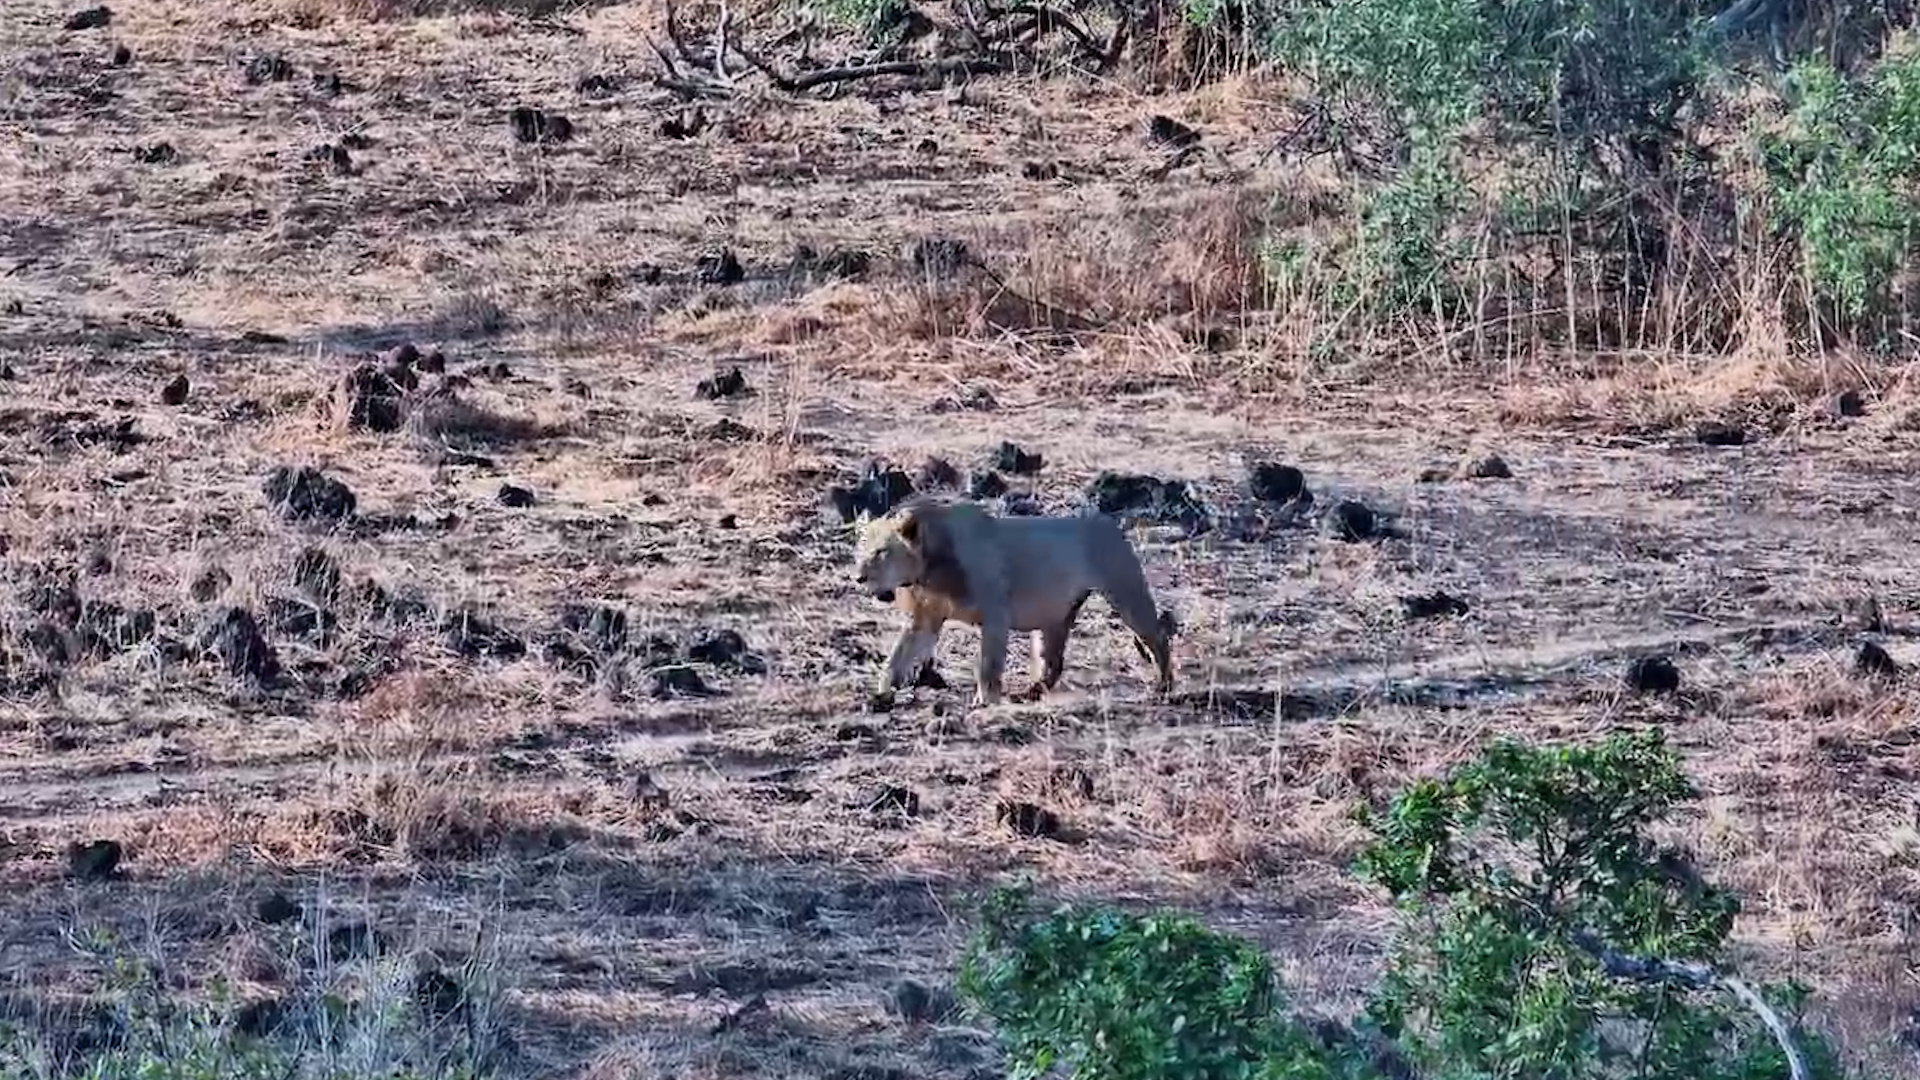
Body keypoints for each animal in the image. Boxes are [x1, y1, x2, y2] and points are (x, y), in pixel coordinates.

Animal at [852, 494, 1177, 708]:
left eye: (881, 552)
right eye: (861, 549)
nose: (859, 577)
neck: (925, 573)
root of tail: (1110, 523)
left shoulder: (996, 613)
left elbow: (988, 664)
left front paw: (985, 701)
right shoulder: (925, 618)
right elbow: (898, 656)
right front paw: (882, 693)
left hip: (1126, 592)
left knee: (1158, 638)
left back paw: (1163, 687)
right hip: (1054, 617)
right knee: (1052, 663)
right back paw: (1030, 693)